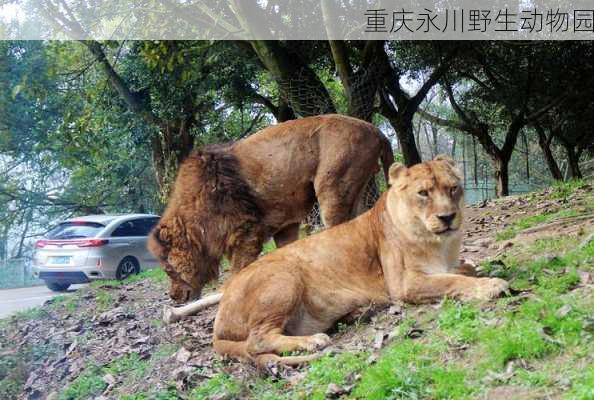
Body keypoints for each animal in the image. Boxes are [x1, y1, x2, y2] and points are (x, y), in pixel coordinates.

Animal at [147, 114, 394, 302]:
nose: (173, 297)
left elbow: (238, 272)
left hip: (332, 187)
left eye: (168, 270)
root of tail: (377, 131)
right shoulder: (285, 226)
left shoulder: (246, 232)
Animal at [210, 155, 506, 366]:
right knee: (256, 341)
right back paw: (313, 341)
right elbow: (451, 281)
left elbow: (465, 268)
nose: (447, 217)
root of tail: (218, 320)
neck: (439, 244)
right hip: (283, 275)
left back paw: (358, 313)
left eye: (453, 188)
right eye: (423, 193)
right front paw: (491, 285)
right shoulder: (404, 284)